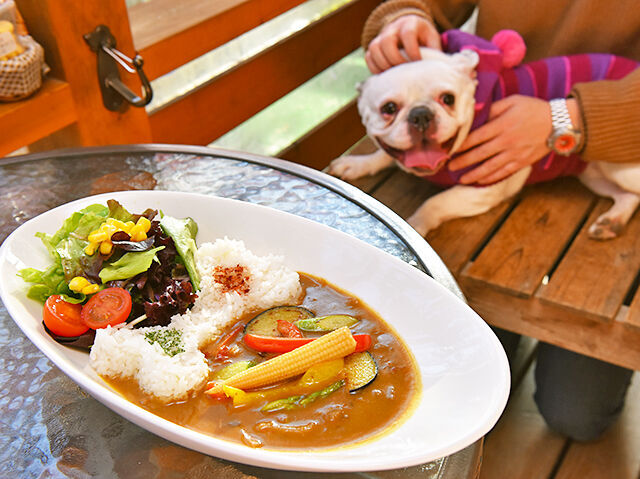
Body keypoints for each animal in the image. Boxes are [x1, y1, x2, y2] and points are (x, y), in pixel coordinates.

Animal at [330, 30, 640, 240]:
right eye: (389, 108)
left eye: (448, 99)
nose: (420, 115)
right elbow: (383, 155)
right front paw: (358, 164)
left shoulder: (489, 185)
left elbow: (436, 202)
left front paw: (416, 223)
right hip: (593, 173)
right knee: (627, 197)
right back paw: (612, 221)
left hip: (615, 166)